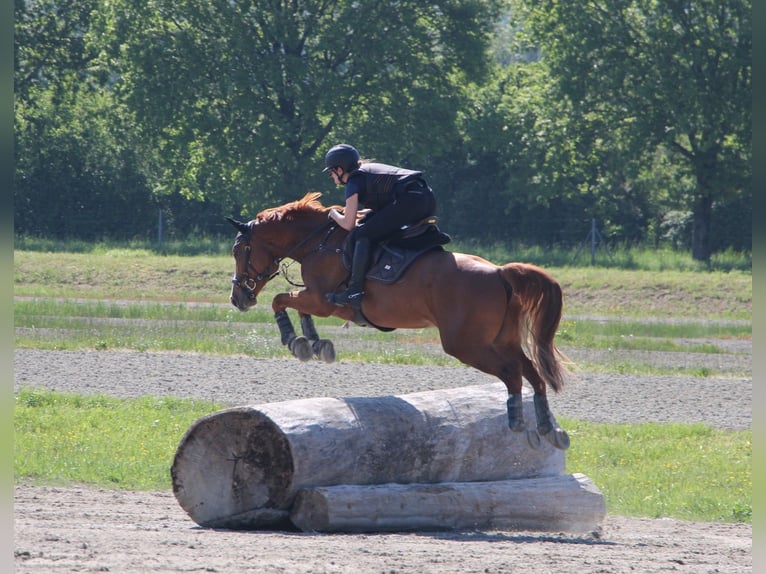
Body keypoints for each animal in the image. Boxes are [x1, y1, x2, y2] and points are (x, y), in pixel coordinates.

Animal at [226, 191, 568, 452]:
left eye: (239, 250)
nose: (238, 298)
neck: (317, 242)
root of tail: (499, 272)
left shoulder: (323, 300)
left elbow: (280, 300)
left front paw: (294, 341)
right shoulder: (319, 301)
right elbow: (296, 308)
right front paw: (314, 344)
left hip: (467, 345)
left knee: (512, 374)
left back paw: (518, 423)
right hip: (501, 341)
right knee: (533, 374)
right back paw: (549, 429)